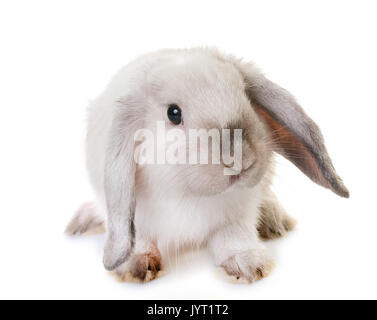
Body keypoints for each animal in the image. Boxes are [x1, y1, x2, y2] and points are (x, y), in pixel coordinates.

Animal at [65, 47, 350, 282]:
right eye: (173, 113)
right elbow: (137, 237)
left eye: (245, 95)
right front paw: (137, 266)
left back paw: (274, 220)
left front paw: (248, 264)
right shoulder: (133, 215)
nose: (240, 157)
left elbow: (233, 236)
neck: (188, 193)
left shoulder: (238, 214)